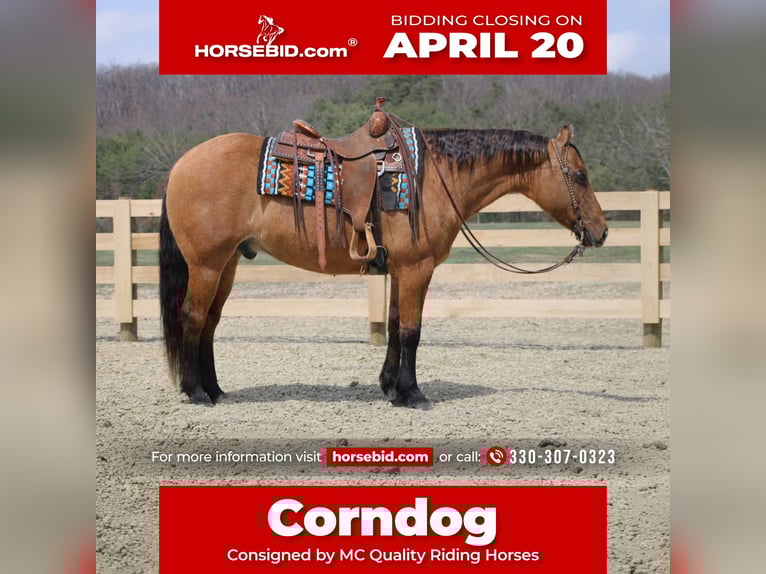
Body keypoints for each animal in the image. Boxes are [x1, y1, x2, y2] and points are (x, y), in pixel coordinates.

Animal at [159, 122, 608, 410]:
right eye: (579, 176)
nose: (601, 232)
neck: (435, 178)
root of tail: (181, 164)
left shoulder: (400, 269)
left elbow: (394, 326)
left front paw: (390, 388)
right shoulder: (417, 269)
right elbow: (411, 331)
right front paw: (413, 394)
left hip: (229, 264)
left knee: (210, 323)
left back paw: (216, 390)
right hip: (206, 264)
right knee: (193, 317)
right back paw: (195, 392)